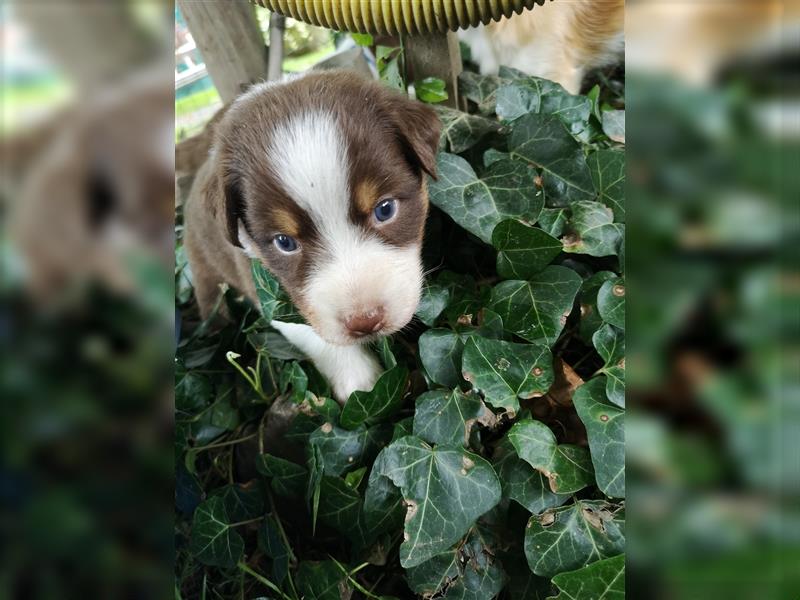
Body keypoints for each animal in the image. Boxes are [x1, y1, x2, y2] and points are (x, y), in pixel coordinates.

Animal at [184, 71, 440, 404]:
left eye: (385, 210)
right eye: (285, 243)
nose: (365, 321)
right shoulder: (260, 282)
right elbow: (308, 331)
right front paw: (359, 379)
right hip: (204, 268)